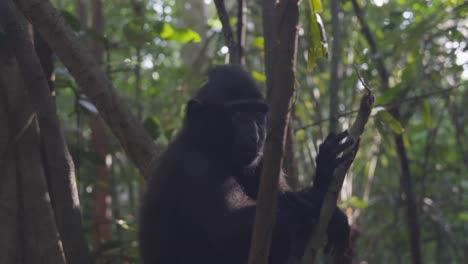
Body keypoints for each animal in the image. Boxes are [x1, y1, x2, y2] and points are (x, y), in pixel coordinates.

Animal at [141, 64, 352, 264]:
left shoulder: (262, 163)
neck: (207, 146)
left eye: (258, 114)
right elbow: (227, 226)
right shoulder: (195, 167)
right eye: (238, 113)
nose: (255, 135)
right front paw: (311, 201)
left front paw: (324, 177)